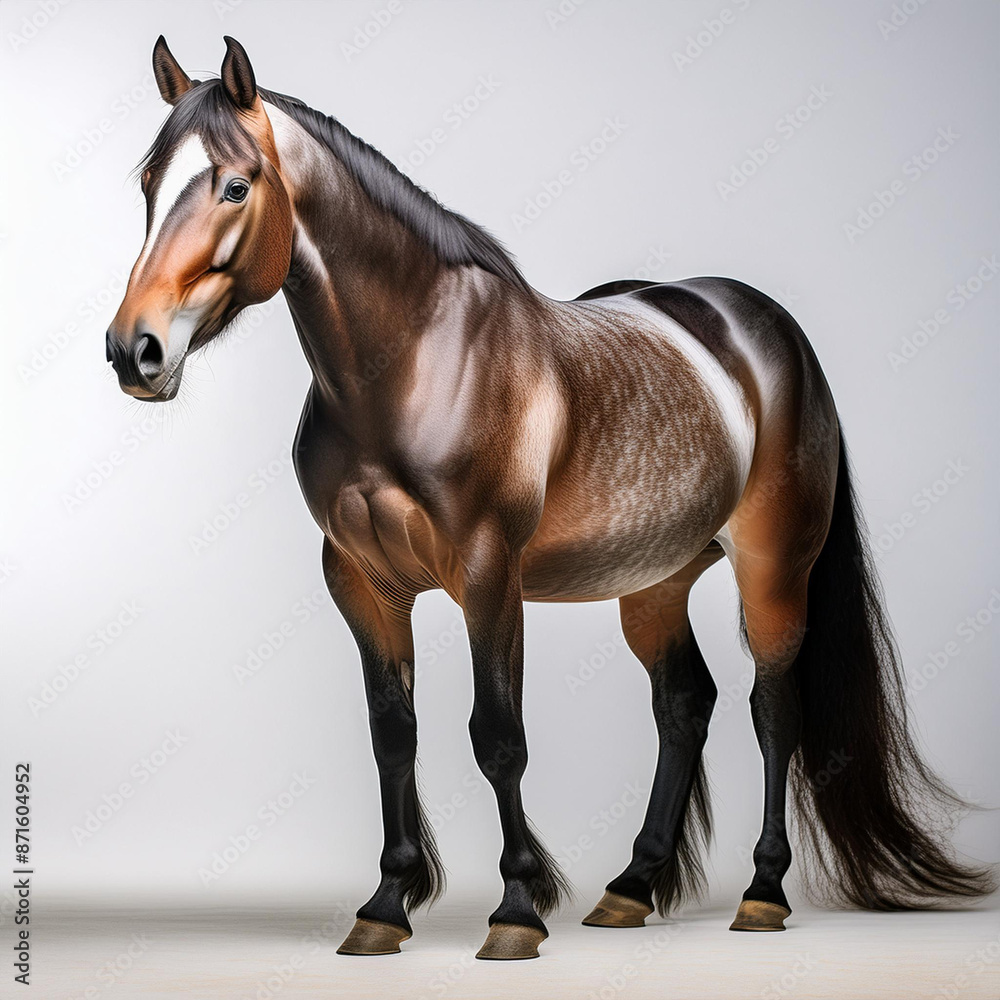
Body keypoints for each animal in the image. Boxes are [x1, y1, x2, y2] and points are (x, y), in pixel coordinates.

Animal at [106, 36, 993, 960]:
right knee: (685, 705)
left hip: (773, 568)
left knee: (772, 710)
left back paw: (762, 892)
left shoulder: (488, 576)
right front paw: (385, 906)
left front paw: (516, 911)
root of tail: (760, 324)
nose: (135, 350)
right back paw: (631, 887)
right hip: (656, 583)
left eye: (236, 185)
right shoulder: (360, 582)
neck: (413, 367)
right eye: (148, 184)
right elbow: (394, 737)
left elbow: (498, 739)